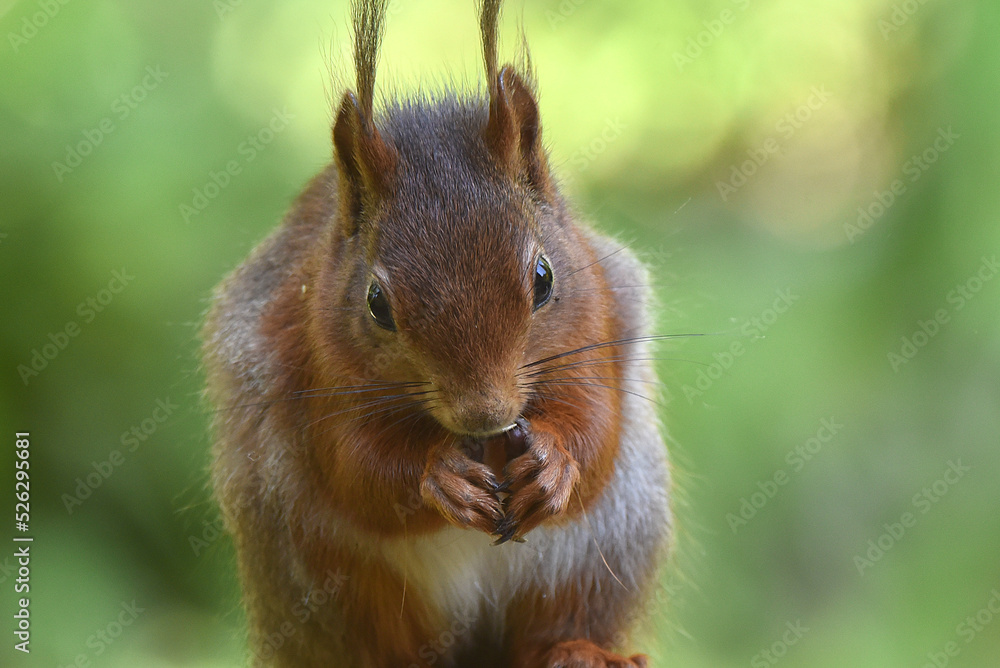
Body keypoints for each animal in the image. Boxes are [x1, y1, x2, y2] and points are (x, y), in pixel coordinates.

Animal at [201, 1, 672, 666]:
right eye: (376, 303)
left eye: (544, 277)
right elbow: (353, 467)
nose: (487, 414)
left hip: (605, 545)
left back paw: (579, 649)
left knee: (561, 617)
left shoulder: (601, 323)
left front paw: (555, 467)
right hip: (331, 580)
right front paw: (437, 476)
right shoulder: (308, 363)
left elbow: (595, 426)